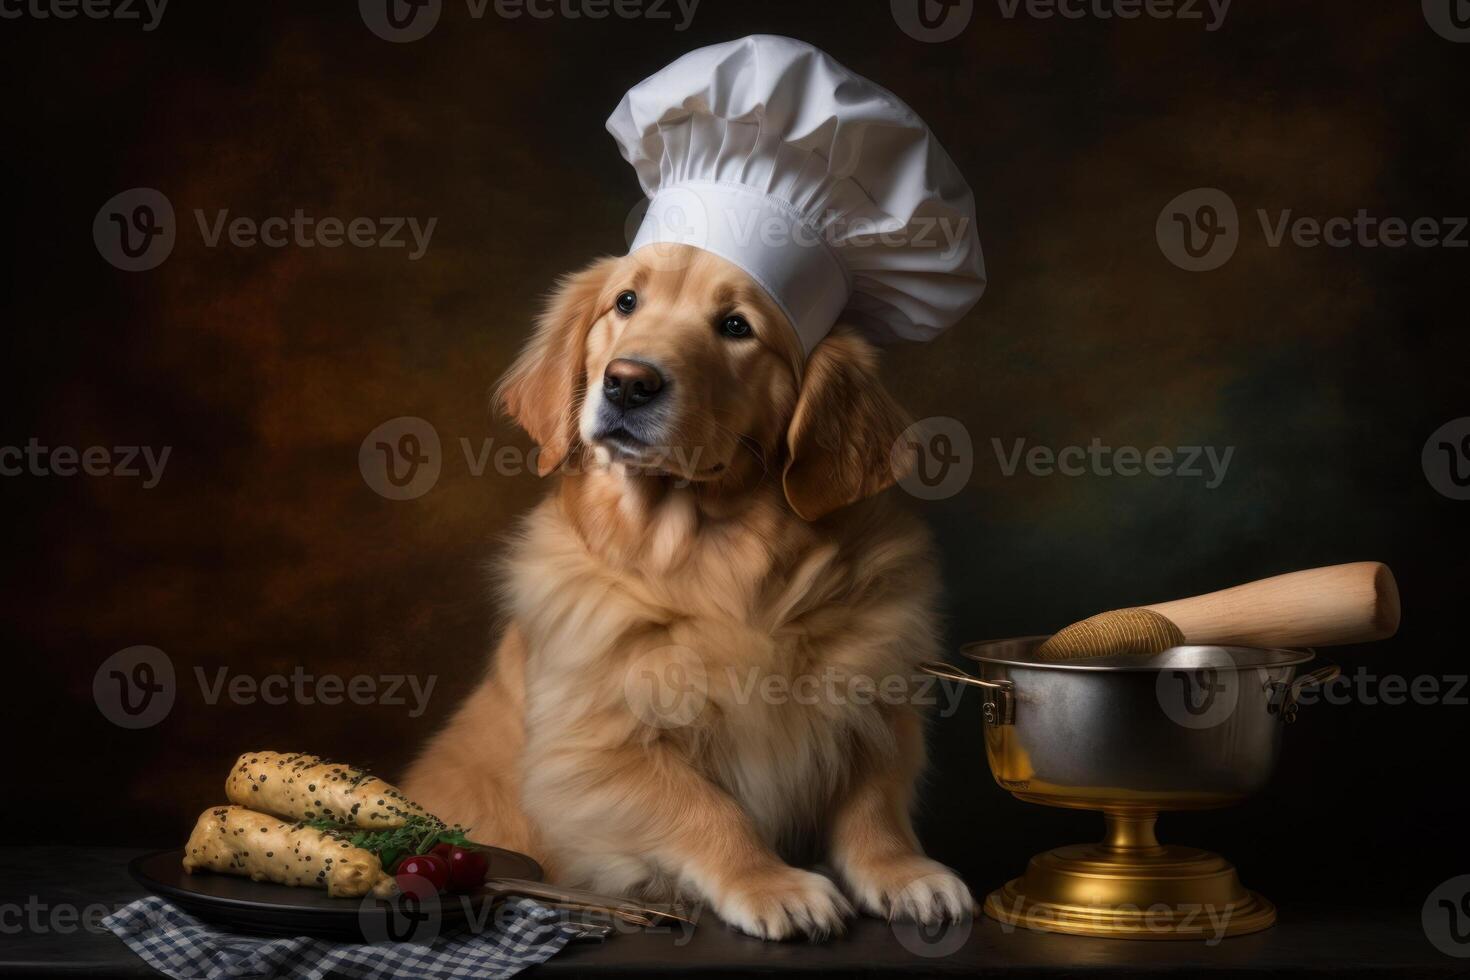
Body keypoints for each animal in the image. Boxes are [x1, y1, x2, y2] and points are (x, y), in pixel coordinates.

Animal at [405, 240, 976, 940]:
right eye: (626, 302)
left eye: (736, 326)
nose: (627, 382)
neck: (713, 561)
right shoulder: (591, 751)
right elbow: (706, 807)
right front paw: (772, 883)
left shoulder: (876, 697)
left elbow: (874, 802)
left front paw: (902, 870)